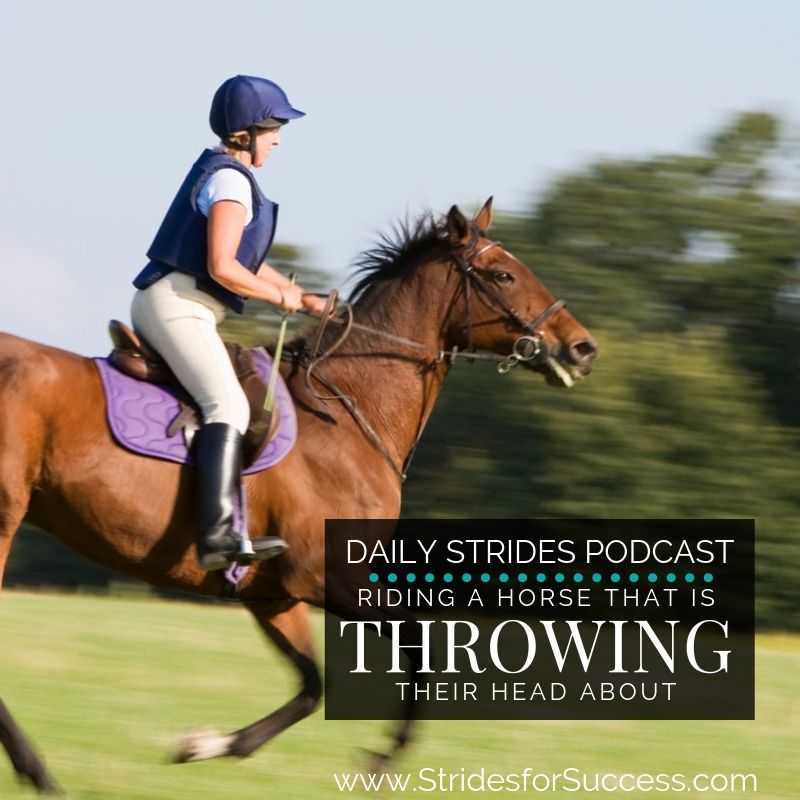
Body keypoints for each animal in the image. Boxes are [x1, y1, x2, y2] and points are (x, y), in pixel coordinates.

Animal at [0, 198, 596, 794]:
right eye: (502, 275)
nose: (582, 347)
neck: (351, 410)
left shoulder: (274, 592)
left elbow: (313, 686)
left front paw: (206, 745)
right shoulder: (325, 575)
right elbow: (420, 652)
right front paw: (383, 759)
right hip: (6, 518)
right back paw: (39, 773)